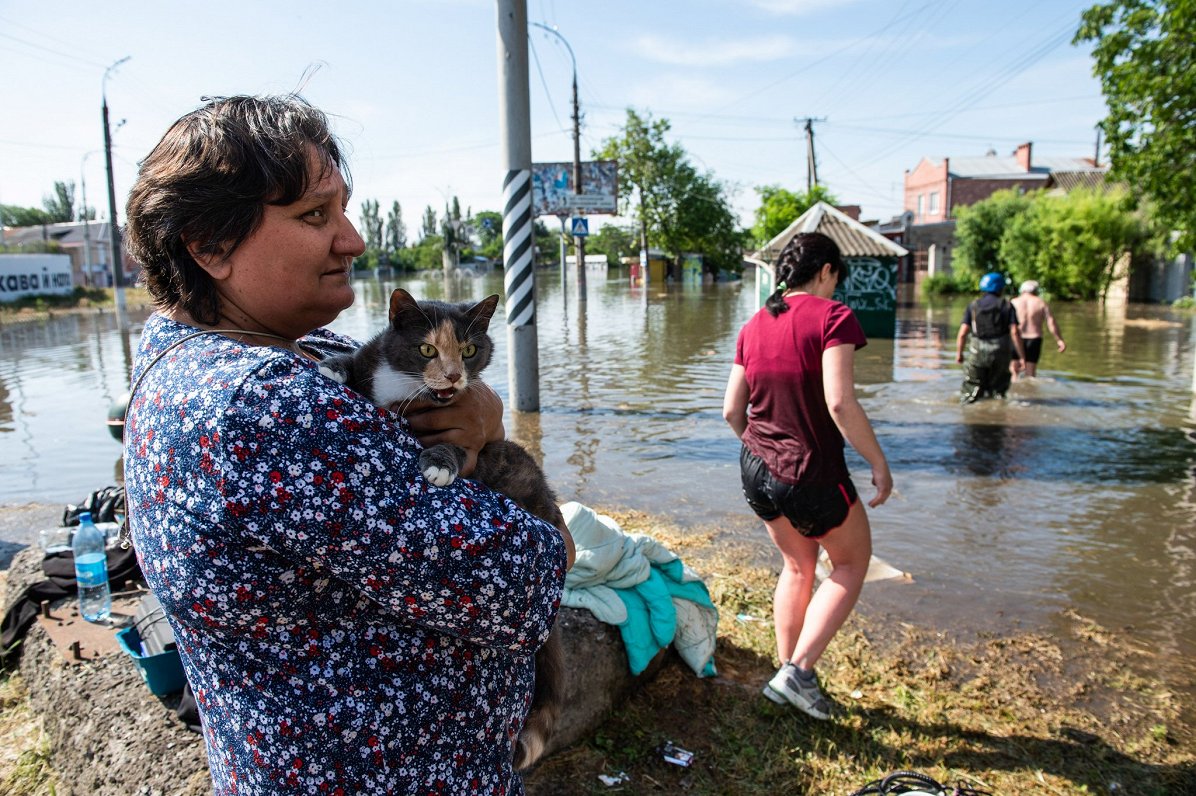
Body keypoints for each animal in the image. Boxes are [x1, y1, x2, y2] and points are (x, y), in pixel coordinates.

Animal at [315, 286, 562, 769]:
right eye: (426, 348)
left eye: (468, 350)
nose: (452, 377)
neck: (410, 388)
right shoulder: (377, 357)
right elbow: (358, 359)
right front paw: (332, 365)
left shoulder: (468, 430)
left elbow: (458, 447)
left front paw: (439, 465)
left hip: (511, 460)